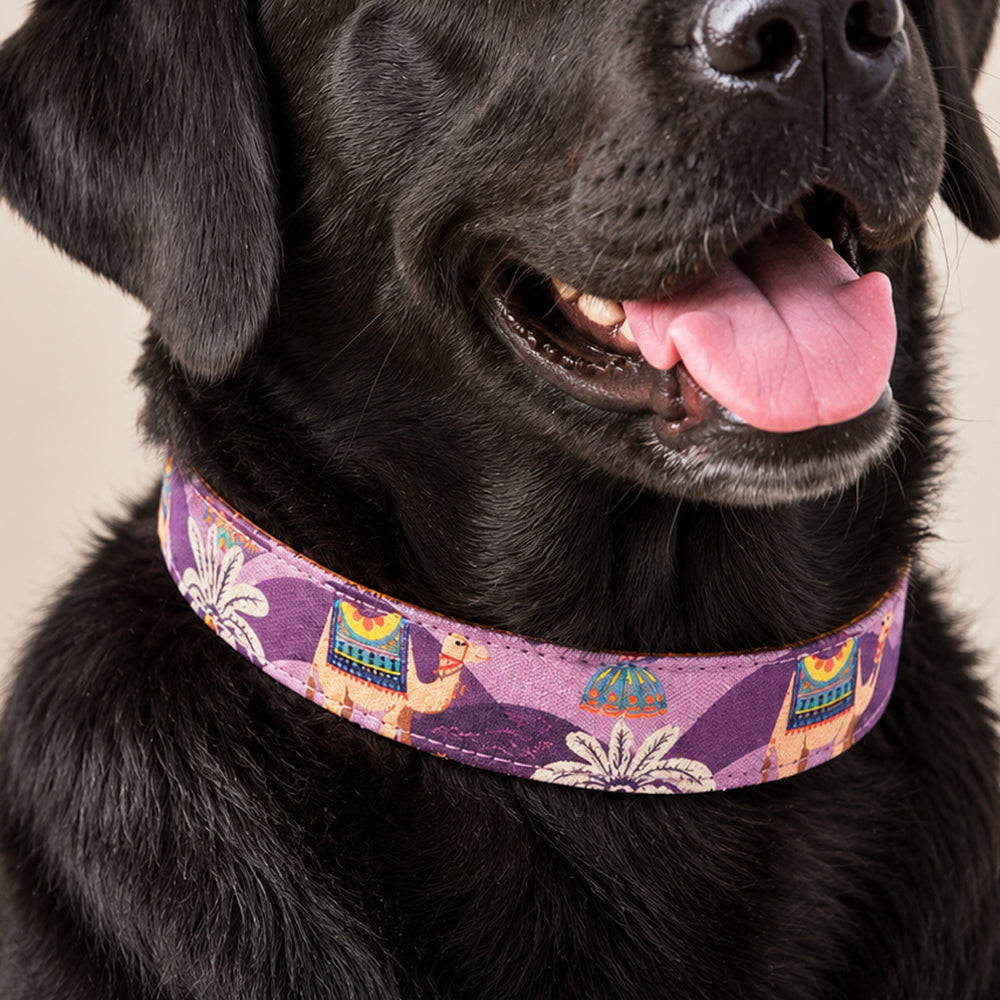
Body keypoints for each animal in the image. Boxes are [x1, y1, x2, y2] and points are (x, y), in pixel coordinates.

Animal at [308, 602, 489, 745]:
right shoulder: (395, 711)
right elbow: (389, 727)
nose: (484, 653)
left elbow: (406, 735)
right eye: (460, 642)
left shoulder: (406, 715)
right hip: (332, 680)